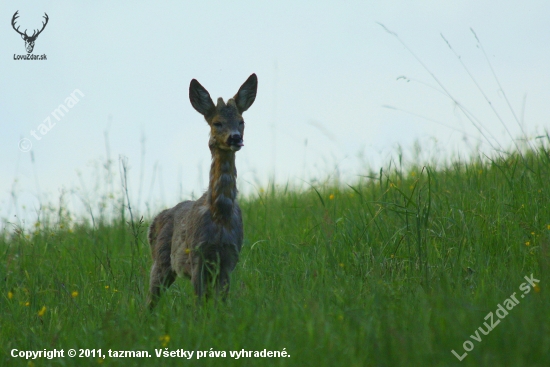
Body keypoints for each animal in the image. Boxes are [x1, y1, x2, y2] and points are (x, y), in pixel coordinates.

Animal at [147, 73, 258, 310]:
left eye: (241, 121)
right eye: (217, 122)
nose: (235, 137)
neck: (219, 215)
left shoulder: (228, 258)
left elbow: (221, 301)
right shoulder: (197, 255)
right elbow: (198, 302)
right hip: (161, 259)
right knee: (150, 299)